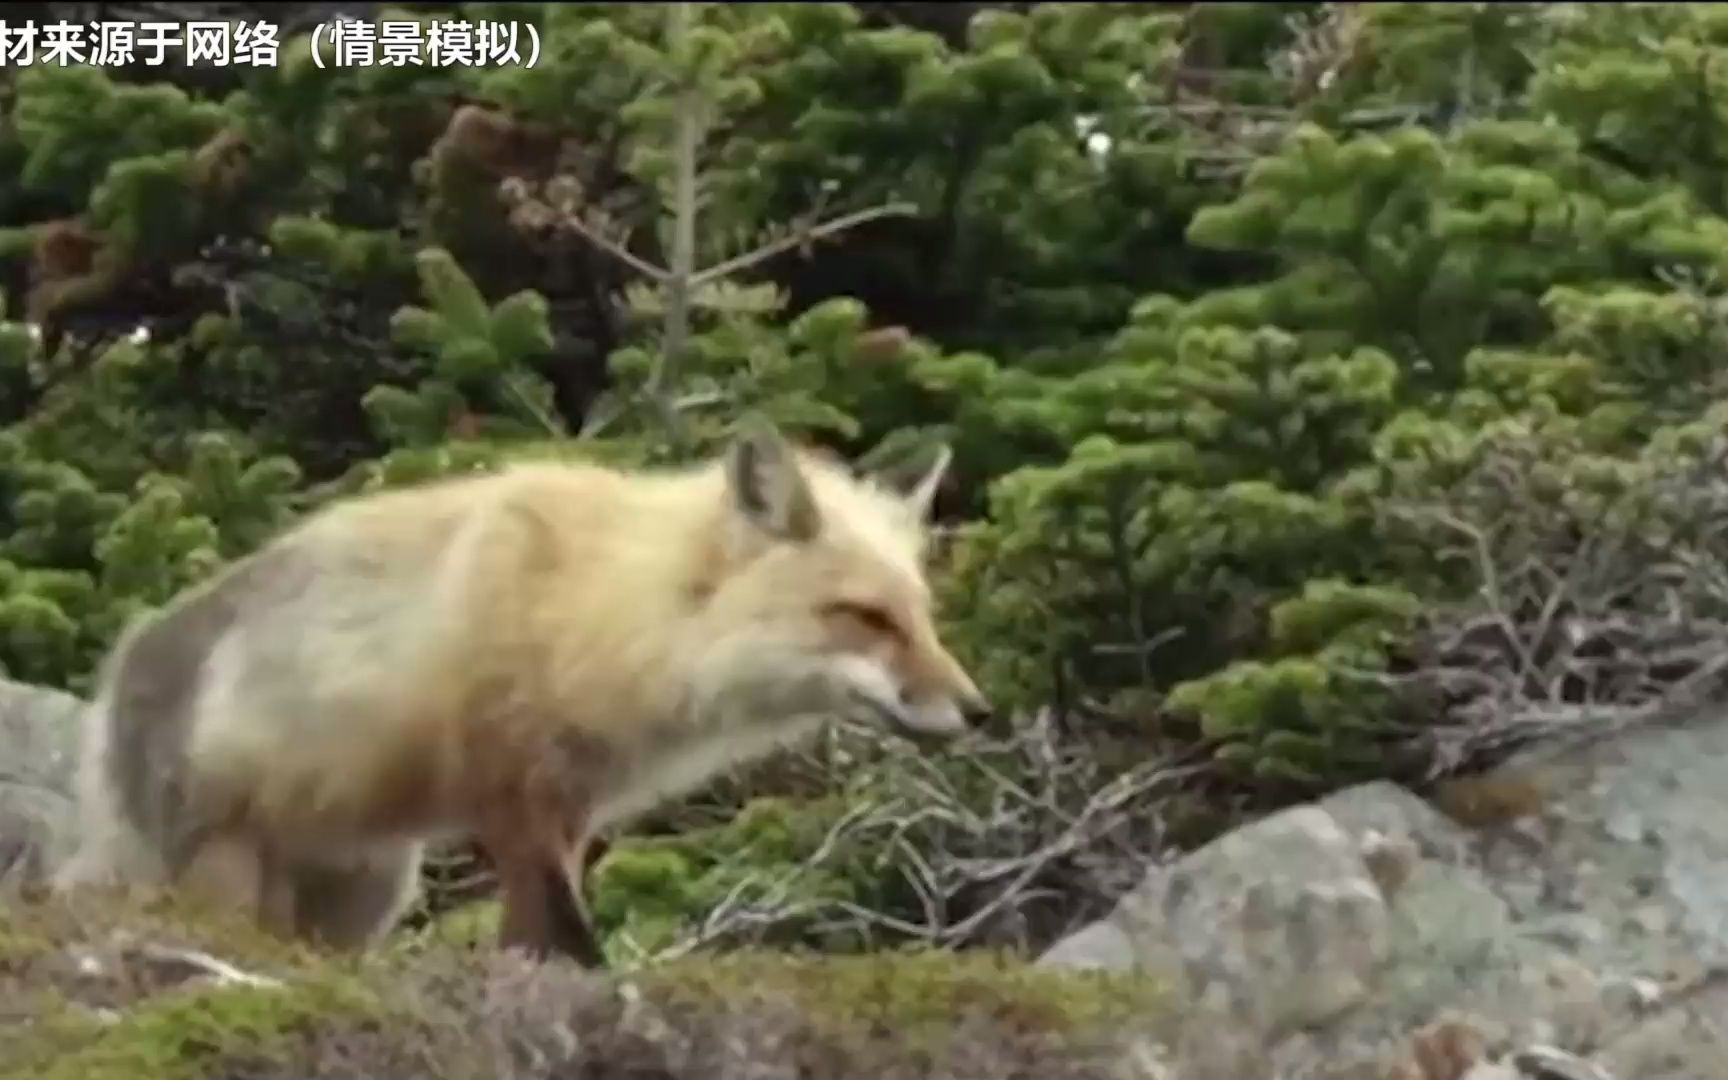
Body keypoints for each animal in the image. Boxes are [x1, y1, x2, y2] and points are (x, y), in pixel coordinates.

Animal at [54, 419, 995, 960]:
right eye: (866, 618)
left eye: (922, 617)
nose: (979, 711)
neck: (594, 615)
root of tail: (118, 668)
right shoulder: (510, 794)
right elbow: (568, 941)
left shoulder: (570, 812)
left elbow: (539, 939)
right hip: (218, 880)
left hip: (365, 897)